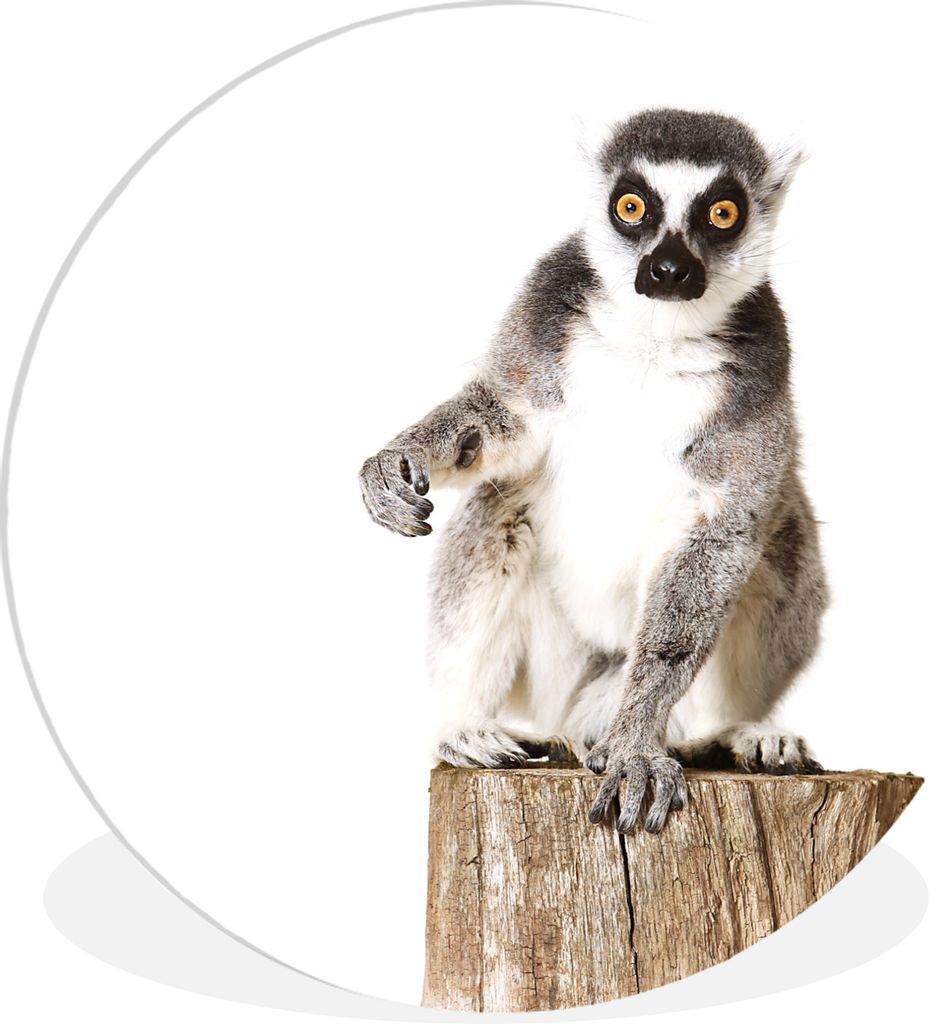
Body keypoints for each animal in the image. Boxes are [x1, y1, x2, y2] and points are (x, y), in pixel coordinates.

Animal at [358, 108, 828, 834]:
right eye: (631, 207)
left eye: (722, 213)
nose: (668, 269)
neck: (655, 335)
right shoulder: (541, 320)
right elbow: (501, 422)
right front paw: (397, 459)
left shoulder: (760, 381)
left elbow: (721, 534)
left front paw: (635, 747)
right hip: (555, 665)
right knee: (499, 508)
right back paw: (464, 728)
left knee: (779, 539)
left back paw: (738, 732)